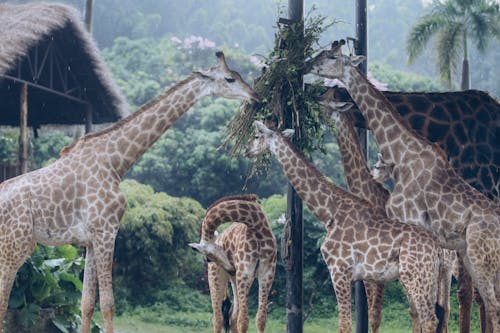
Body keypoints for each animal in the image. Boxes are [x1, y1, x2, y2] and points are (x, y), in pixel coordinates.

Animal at [0, 51, 258, 332]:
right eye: (230, 78)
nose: (255, 95)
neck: (116, 163)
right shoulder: (106, 232)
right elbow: (108, 304)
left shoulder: (90, 240)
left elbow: (87, 303)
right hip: (16, 245)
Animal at [189, 193, 280, 332]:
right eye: (209, 258)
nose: (231, 268)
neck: (257, 226)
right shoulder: (245, 272)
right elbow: (243, 321)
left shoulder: (267, 272)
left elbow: (260, 319)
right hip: (217, 277)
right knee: (218, 319)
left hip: (237, 280)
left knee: (232, 317)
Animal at [245, 121, 446, 332]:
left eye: (257, 135)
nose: (247, 150)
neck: (329, 212)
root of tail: (437, 248)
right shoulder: (355, 276)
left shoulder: (339, 270)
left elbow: (344, 324)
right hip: (428, 279)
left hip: (416, 277)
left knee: (429, 319)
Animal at [320, 89, 458, 332]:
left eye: (327, 102)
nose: (315, 105)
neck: (366, 190)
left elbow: (375, 313)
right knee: (439, 308)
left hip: (439, 268)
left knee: (437, 309)